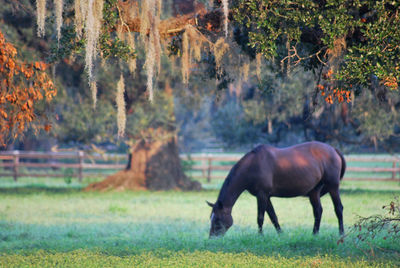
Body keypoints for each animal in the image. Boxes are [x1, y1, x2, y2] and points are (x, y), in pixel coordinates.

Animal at [208, 141, 346, 238]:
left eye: (218, 220)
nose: (212, 238)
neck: (253, 165)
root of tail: (333, 150)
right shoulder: (266, 197)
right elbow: (273, 217)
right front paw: (280, 234)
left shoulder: (262, 195)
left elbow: (260, 217)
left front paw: (260, 236)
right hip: (314, 191)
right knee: (318, 211)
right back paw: (314, 234)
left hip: (333, 187)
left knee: (338, 209)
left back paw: (341, 234)